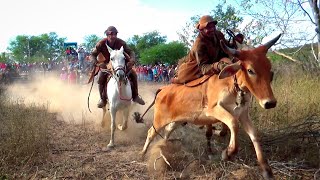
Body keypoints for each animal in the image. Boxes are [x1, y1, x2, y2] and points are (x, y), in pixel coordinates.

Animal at [139, 34, 282, 180]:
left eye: (268, 68)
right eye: (250, 70)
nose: (270, 103)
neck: (233, 86)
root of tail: (162, 90)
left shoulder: (243, 114)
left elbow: (254, 134)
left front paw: (266, 169)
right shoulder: (213, 110)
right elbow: (233, 123)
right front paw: (228, 153)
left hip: (177, 120)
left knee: (167, 131)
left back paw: (163, 147)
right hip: (159, 120)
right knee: (150, 133)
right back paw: (143, 154)